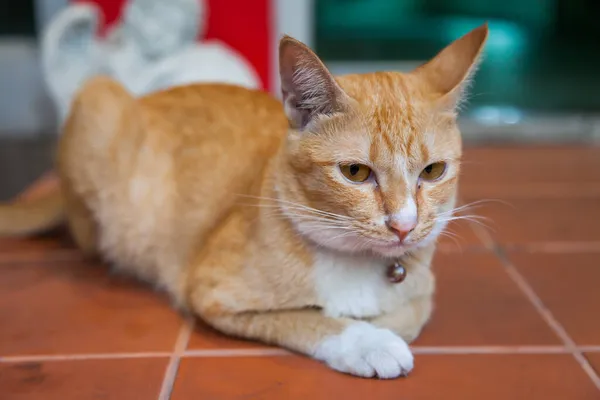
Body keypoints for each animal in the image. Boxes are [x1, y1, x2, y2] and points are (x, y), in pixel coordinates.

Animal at [0, 25, 488, 378]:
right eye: (355, 173)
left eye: (433, 171)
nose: (404, 225)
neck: (356, 261)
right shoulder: (212, 293)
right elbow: (308, 316)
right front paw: (364, 341)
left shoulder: (423, 288)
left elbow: (410, 313)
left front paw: (375, 323)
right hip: (97, 102)